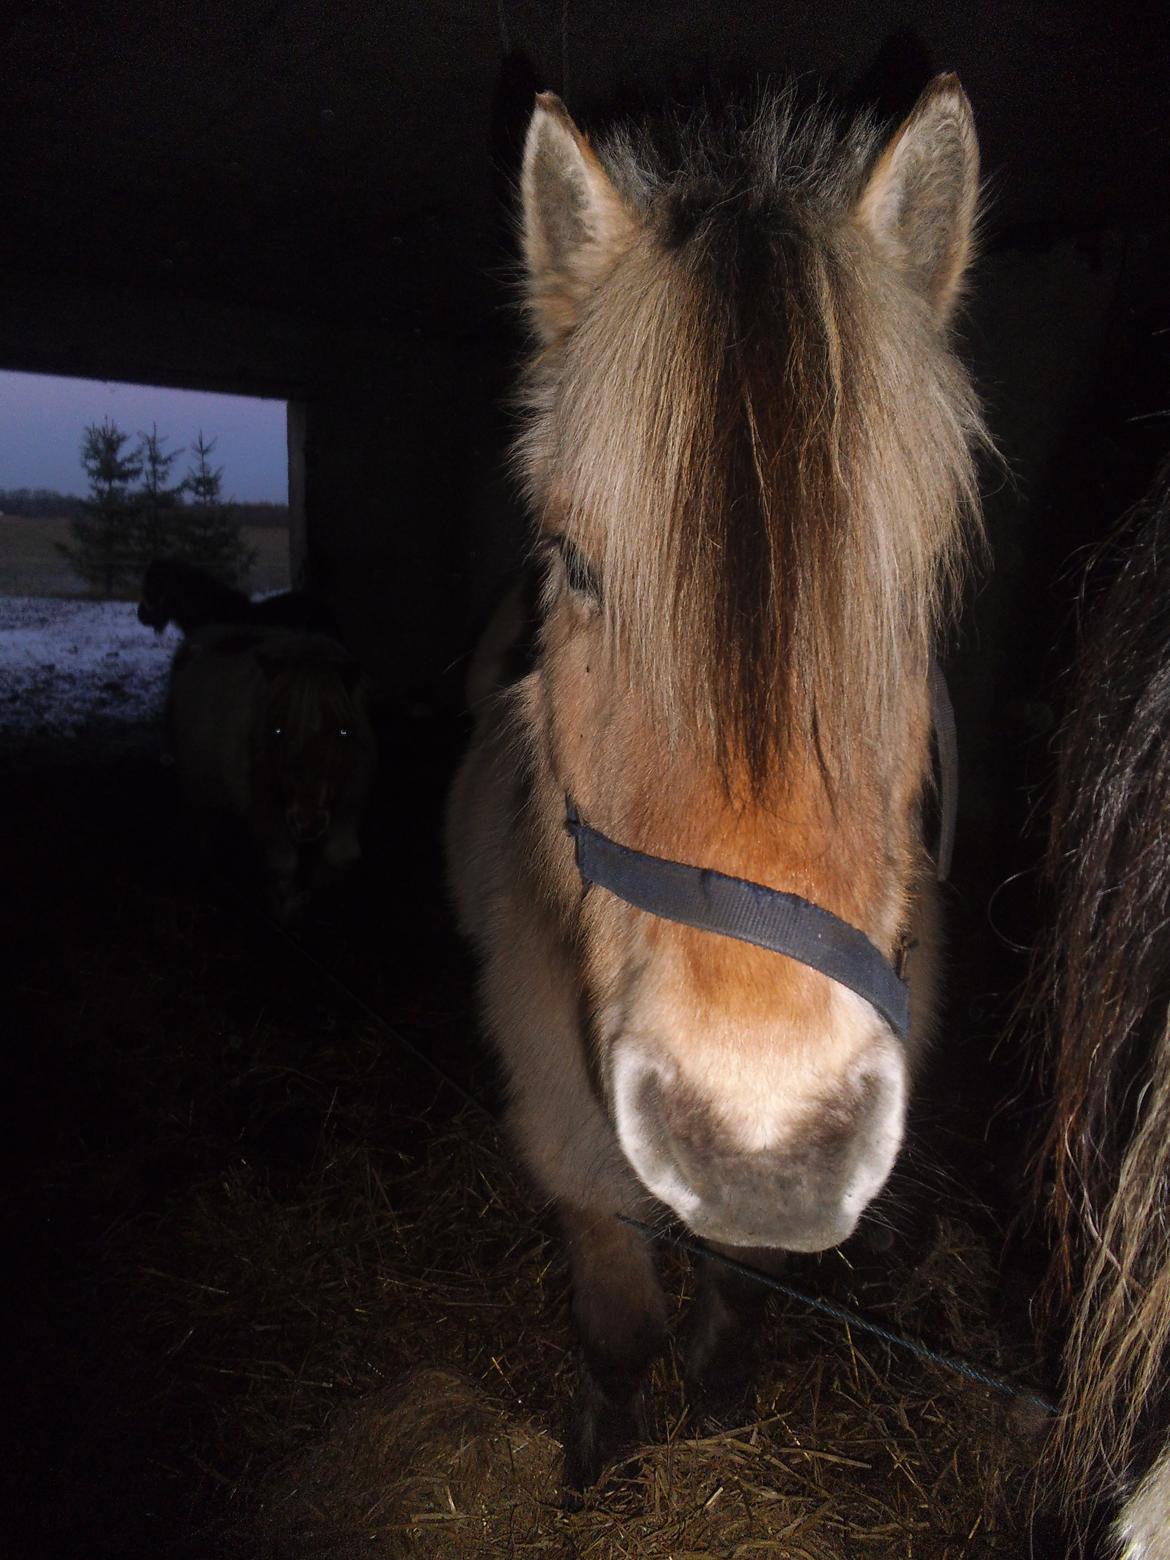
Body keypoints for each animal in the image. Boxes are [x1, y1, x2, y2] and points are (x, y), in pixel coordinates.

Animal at [169, 620, 377, 911]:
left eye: (343, 732)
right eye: (277, 730)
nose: (307, 823)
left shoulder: (349, 806)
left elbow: (340, 856)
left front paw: (314, 887)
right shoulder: (269, 815)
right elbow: (283, 866)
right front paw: (287, 905)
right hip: (196, 793)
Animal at [449, 79, 992, 1491]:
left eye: (916, 592)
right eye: (574, 564)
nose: (759, 1141)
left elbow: (741, 1286)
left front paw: (724, 1389)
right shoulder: (570, 1140)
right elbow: (619, 1323)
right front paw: (599, 1460)